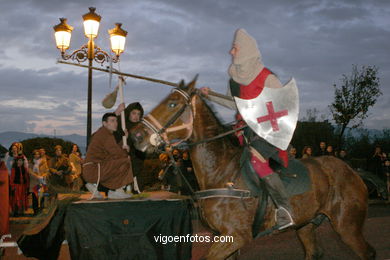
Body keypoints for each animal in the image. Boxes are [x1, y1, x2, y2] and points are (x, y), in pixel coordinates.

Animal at [130, 78, 374, 258]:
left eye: (172, 104)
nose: (136, 136)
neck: (221, 171)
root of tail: (352, 171)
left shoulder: (236, 237)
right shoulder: (224, 237)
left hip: (347, 226)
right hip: (306, 224)